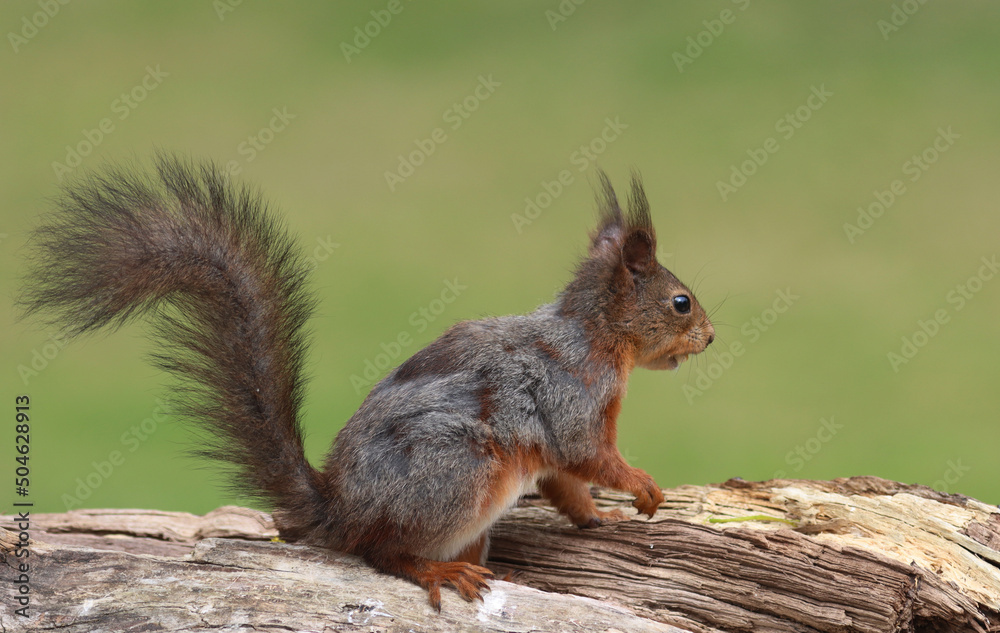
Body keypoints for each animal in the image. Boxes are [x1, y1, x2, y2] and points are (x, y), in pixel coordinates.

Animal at [20, 155, 714, 610]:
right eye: (681, 303)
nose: (710, 337)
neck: (594, 337)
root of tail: (341, 512)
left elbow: (567, 487)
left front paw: (600, 520)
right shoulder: (572, 397)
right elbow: (588, 457)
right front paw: (643, 490)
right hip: (459, 474)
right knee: (382, 553)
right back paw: (436, 572)